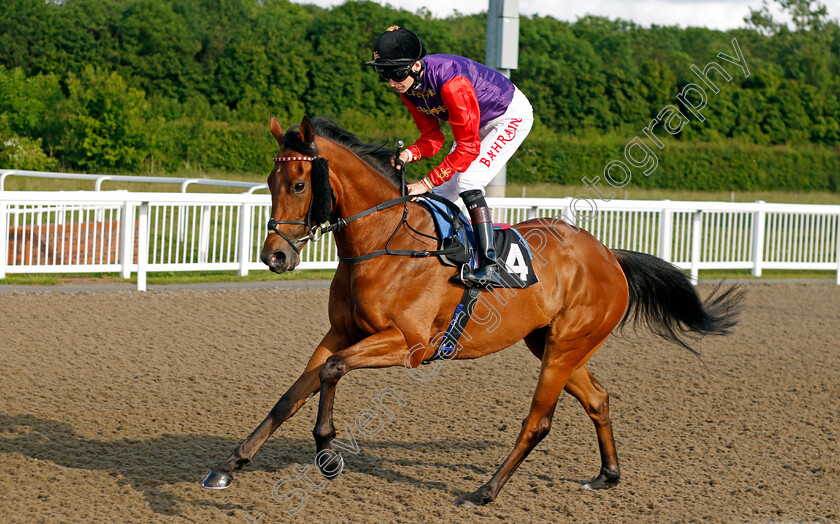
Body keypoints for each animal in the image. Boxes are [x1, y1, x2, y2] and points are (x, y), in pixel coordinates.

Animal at [200, 115, 744, 508]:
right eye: (269, 180)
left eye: (297, 184)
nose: (275, 256)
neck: (382, 242)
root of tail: (609, 254)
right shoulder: (339, 332)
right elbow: (291, 395)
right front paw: (228, 465)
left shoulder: (410, 346)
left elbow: (332, 372)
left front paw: (327, 451)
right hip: (552, 343)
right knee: (598, 398)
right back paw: (607, 475)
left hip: (565, 346)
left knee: (538, 422)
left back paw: (484, 491)